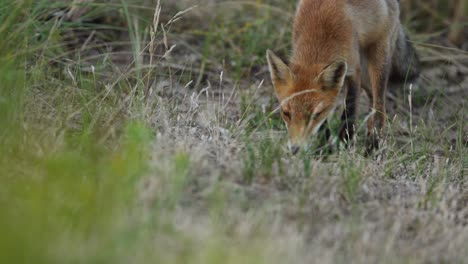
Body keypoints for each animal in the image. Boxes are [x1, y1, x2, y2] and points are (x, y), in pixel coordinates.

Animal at [266, 0, 420, 155]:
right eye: (286, 113)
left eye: (315, 114)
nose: (295, 149)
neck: (320, 30)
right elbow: (324, 124)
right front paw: (325, 149)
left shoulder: (353, 70)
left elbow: (349, 113)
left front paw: (344, 145)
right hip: (365, 75)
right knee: (372, 100)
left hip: (378, 58)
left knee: (379, 105)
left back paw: (373, 147)